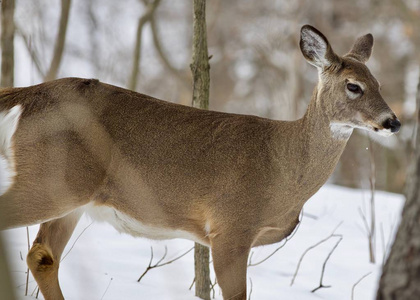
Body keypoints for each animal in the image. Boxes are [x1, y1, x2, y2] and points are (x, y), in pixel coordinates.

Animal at [0, 25, 400, 300]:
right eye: (353, 86)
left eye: (379, 83)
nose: (393, 121)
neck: (282, 166)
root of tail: (28, 95)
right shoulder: (231, 226)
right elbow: (236, 294)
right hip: (52, 181)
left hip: (72, 195)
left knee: (42, 255)